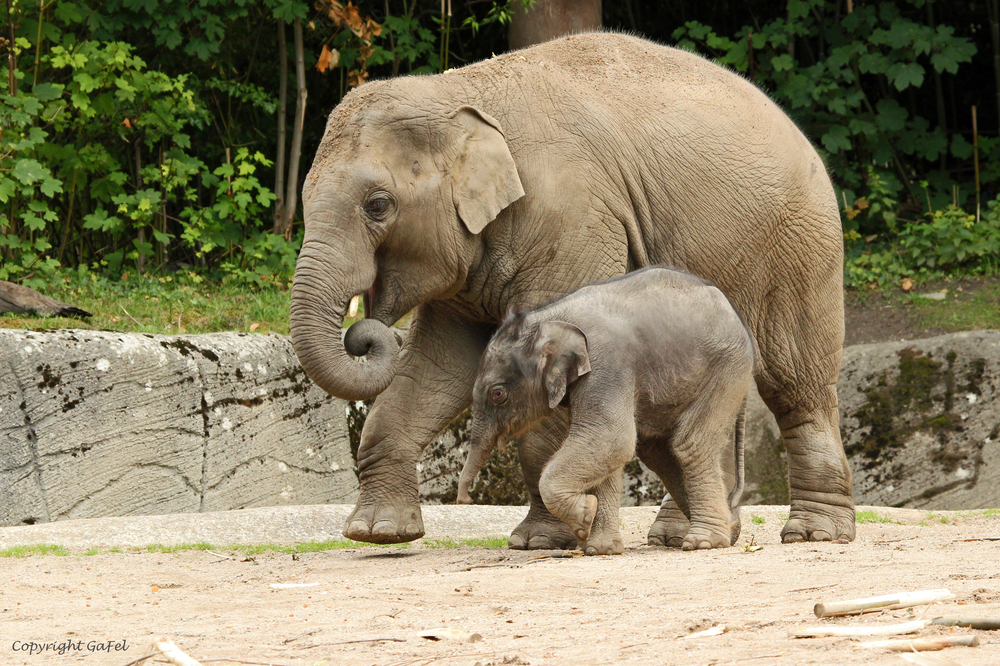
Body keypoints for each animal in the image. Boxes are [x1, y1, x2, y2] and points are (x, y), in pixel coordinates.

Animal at [458, 268, 752, 552]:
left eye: (497, 394)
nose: (465, 498)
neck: (549, 317)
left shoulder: (606, 363)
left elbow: (609, 437)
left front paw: (585, 515)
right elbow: (605, 449)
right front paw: (600, 547)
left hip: (726, 368)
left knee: (689, 444)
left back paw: (705, 542)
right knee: (659, 452)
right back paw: (730, 529)